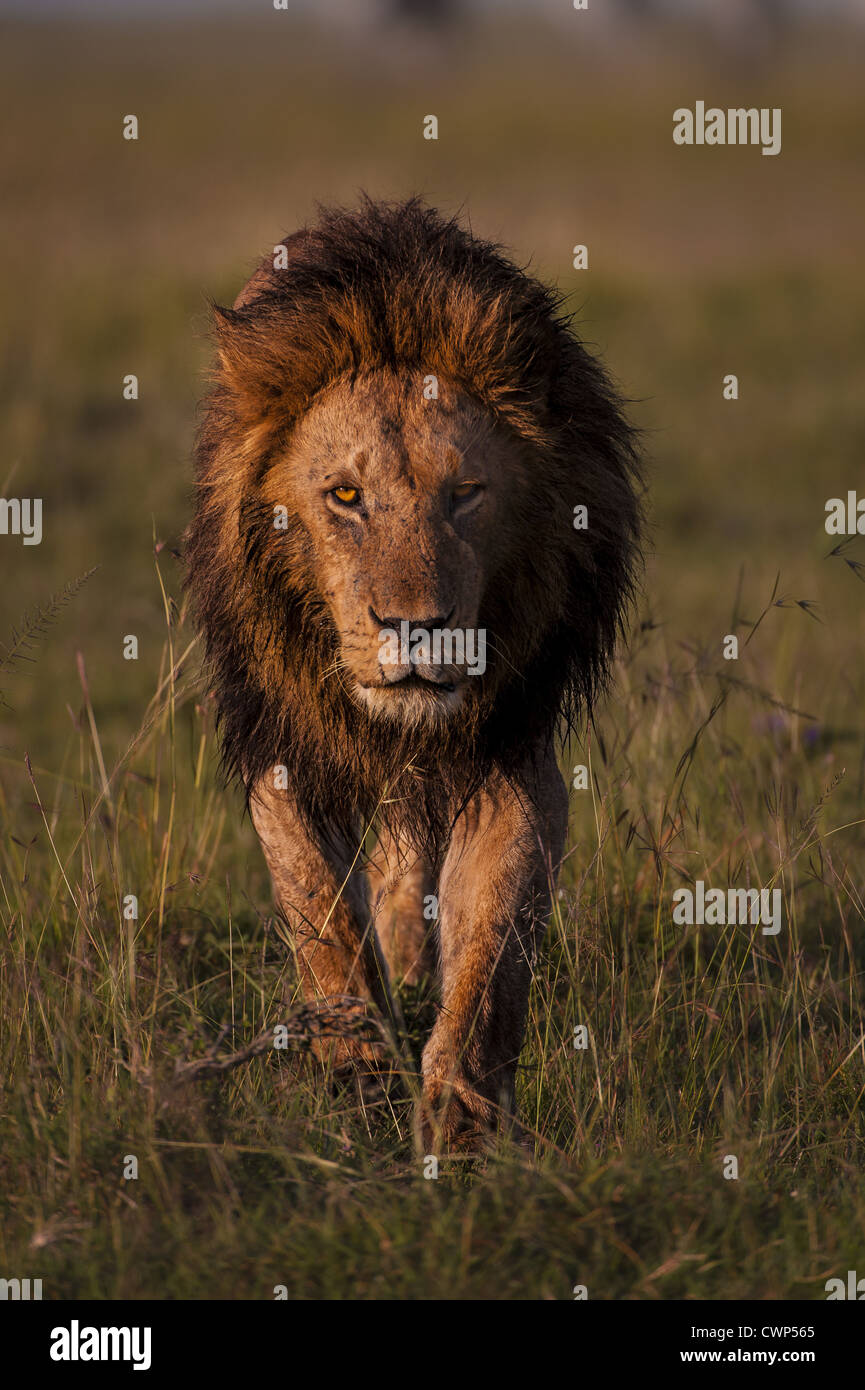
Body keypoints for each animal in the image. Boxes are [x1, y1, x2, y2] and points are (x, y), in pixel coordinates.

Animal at [186, 197, 642, 1151]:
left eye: (464, 494)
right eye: (344, 497)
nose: (417, 631)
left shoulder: (512, 754)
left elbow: (489, 956)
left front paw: (460, 1131)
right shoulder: (282, 748)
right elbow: (322, 919)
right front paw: (360, 1081)